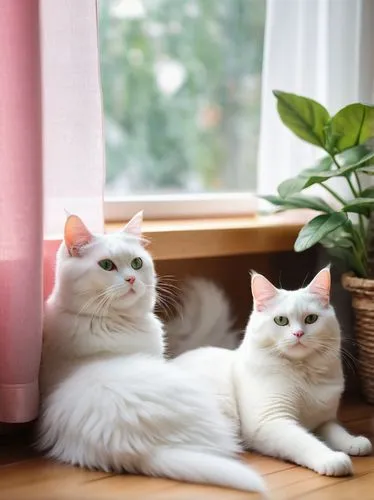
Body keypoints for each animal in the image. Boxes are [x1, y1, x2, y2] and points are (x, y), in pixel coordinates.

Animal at [174, 270, 372, 476]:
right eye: (281, 320)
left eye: (311, 319)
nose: (298, 334)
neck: (304, 374)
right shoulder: (272, 421)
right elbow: (307, 442)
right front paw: (332, 458)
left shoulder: (324, 421)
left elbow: (337, 432)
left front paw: (354, 442)